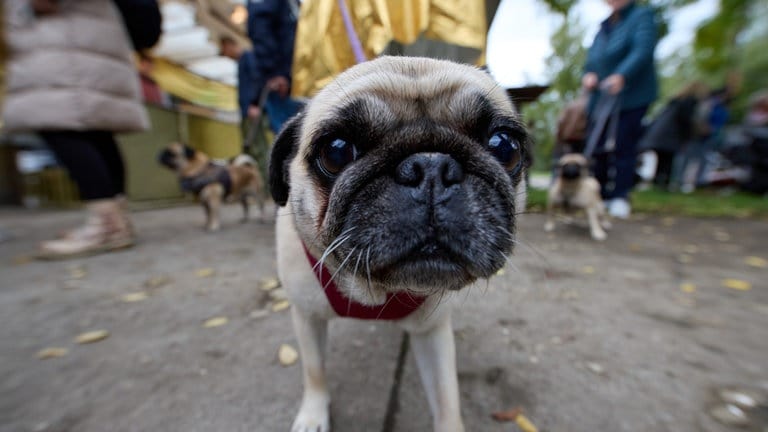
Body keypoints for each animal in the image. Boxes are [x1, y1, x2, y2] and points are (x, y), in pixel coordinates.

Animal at [268, 57, 528, 432]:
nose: (431, 166)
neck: (375, 291)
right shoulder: (307, 316)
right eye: (336, 152)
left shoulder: (433, 332)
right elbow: (314, 371)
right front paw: (313, 415)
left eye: (504, 146)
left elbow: (447, 397)